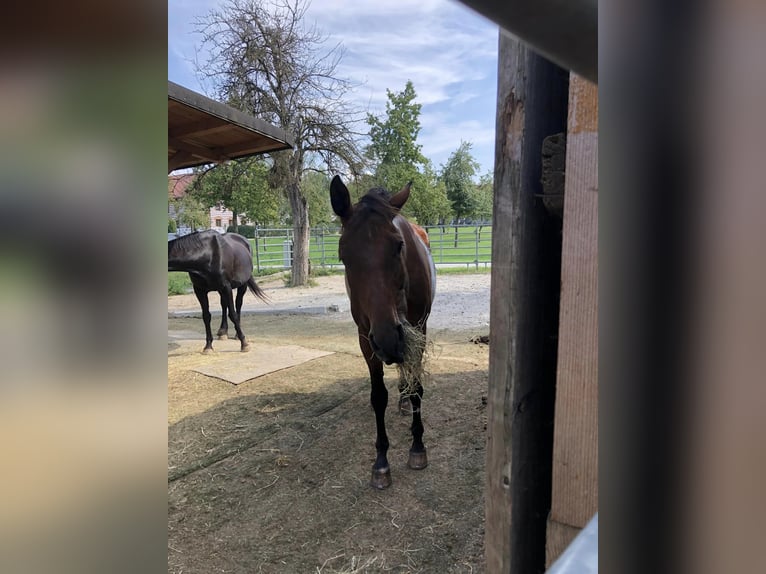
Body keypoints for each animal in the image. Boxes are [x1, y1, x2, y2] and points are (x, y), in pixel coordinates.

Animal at [330, 177, 438, 490]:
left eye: (399, 245)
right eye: (343, 255)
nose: (389, 340)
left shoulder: (417, 331)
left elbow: (417, 387)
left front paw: (417, 447)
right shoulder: (367, 339)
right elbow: (378, 396)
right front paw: (381, 463)